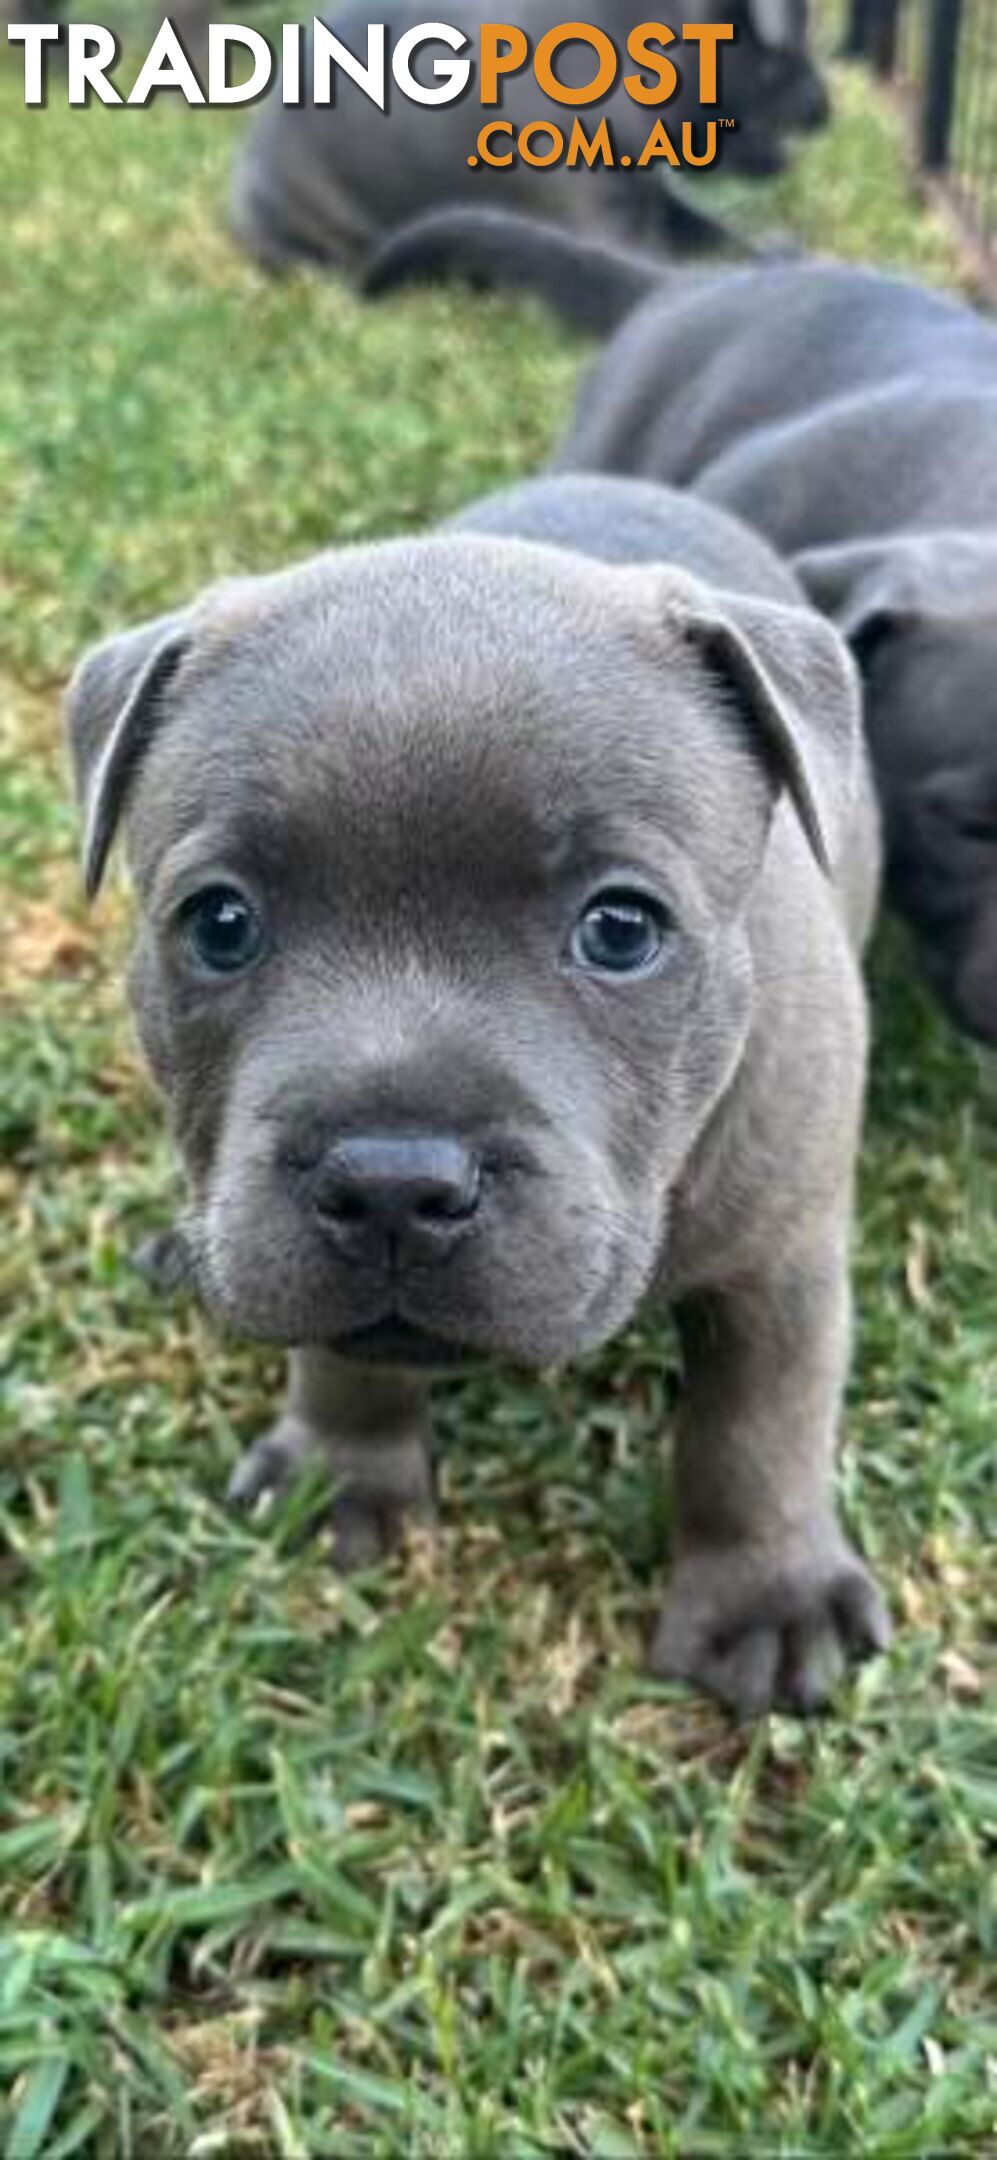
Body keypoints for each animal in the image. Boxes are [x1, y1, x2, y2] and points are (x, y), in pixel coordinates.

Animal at [64, 477, 889, 1719]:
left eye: (620, 929)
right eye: (219, 924)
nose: (390, 1185)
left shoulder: (780, 1259)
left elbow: (760, 1426)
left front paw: (767, 1599)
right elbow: (343, 1351)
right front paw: (343, 1475)